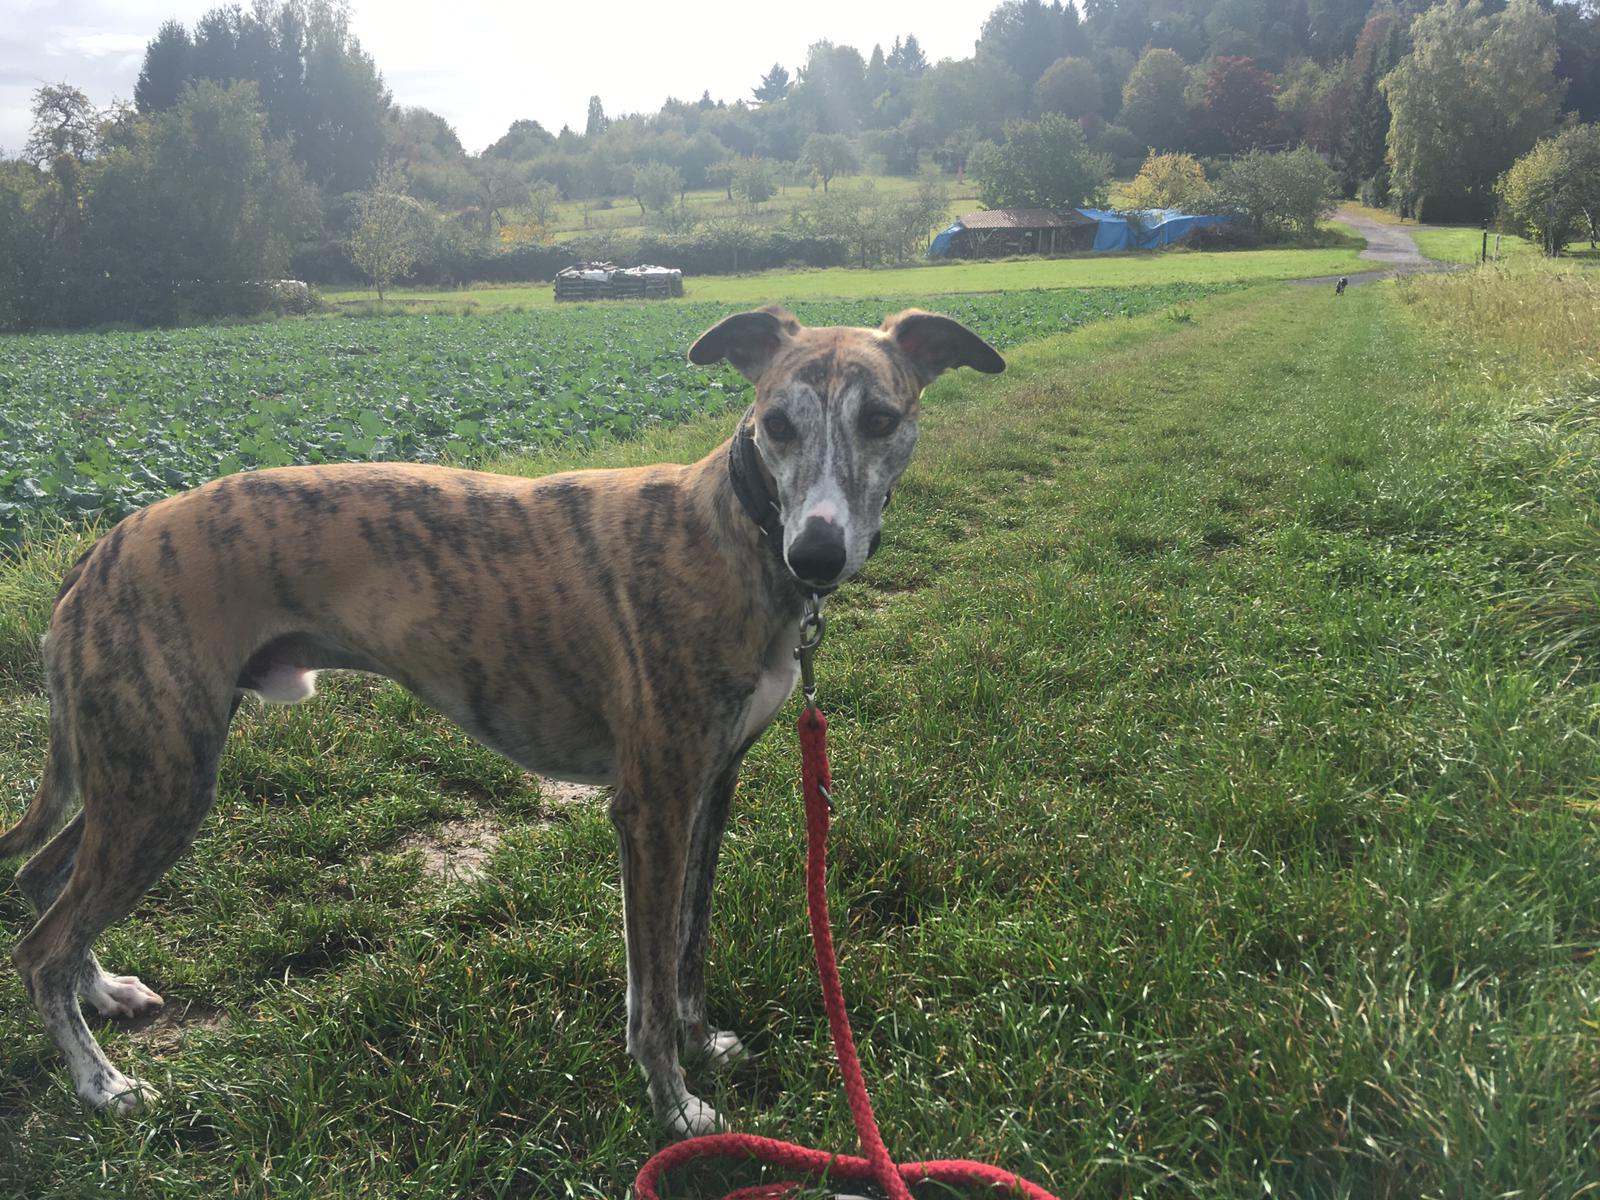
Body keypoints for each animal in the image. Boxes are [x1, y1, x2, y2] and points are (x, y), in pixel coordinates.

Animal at [1, 305, 1004, 1136]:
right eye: (779, 424)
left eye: (882, 419)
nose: (819, 554)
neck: (733, 529)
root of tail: (99, 547)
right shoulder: (651, 806)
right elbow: (646, 988)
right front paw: (675, 1106)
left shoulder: (712, 786)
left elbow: (689, 948)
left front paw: (704, 1042)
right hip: (161, 780)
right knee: (41, 944)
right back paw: (101, 1084)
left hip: (139, 770)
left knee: (46, 882)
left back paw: (105, 993)